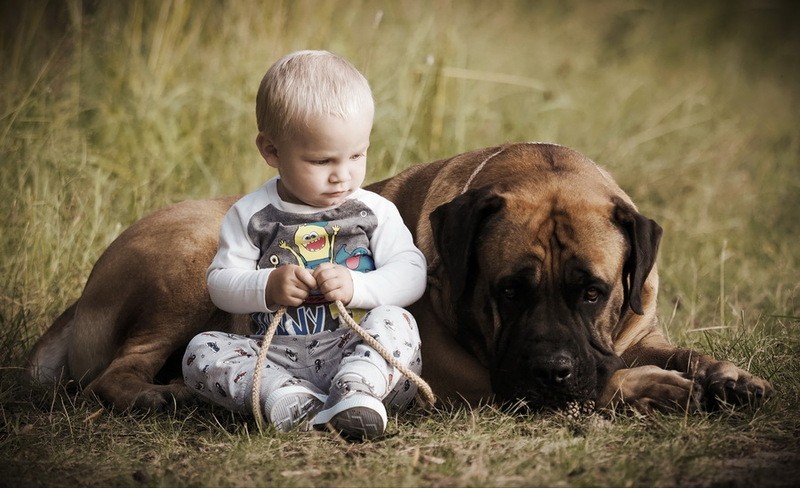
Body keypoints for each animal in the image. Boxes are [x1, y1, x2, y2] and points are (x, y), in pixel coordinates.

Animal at [28, 143, 772, 414]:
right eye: (509, 291)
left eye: (595, 292)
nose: (552, 370)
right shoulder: (471, 379)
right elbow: (611, 381)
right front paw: (658, 388)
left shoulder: (632, 330)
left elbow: (672, 350)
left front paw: (727, 375)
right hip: (192, 260)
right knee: (114, 376)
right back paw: (168, 395)